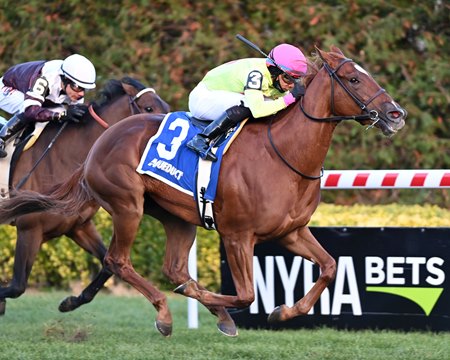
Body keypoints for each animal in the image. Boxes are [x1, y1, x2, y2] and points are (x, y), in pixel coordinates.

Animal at [0, 76, 169, 316]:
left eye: (167, 108)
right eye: (148, 108)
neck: (63, 157)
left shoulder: (78, 226)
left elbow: (108, 265)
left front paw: (71, 302)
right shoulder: (29, 229)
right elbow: (17, 286)